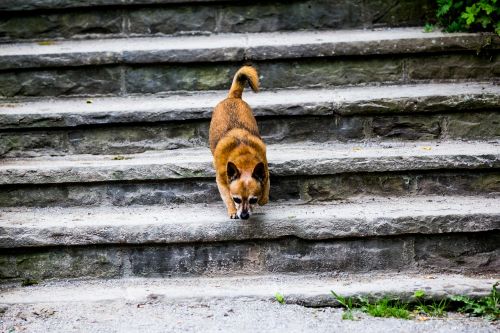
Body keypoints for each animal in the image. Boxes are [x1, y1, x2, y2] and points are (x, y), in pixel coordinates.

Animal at [208, 66, 270, 219]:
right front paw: (232, 210)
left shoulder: (265, 172)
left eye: (253, 200)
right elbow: (226, 196)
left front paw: (262, 199)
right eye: (237, 199)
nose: (244, 215)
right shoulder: (221, 182)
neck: (243, 158)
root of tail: (233, 97)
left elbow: (265, 192)